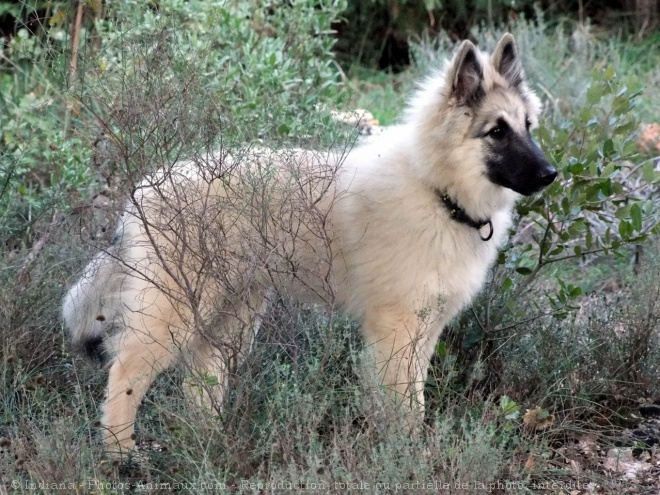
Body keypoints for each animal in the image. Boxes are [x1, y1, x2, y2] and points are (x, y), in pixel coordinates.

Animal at [63, 33, 556, 456]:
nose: (550, 174)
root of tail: (143, 191)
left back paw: (209, 445)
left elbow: (413, 399)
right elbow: (402, 407)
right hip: (175, 314)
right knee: (125, 371)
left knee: (199, 383)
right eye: (497, 132)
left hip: (232, 315)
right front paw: (408, 457)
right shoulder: (396, 330)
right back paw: (122, 454)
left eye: (529, 126)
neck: (435, 188)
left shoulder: (423, 330)